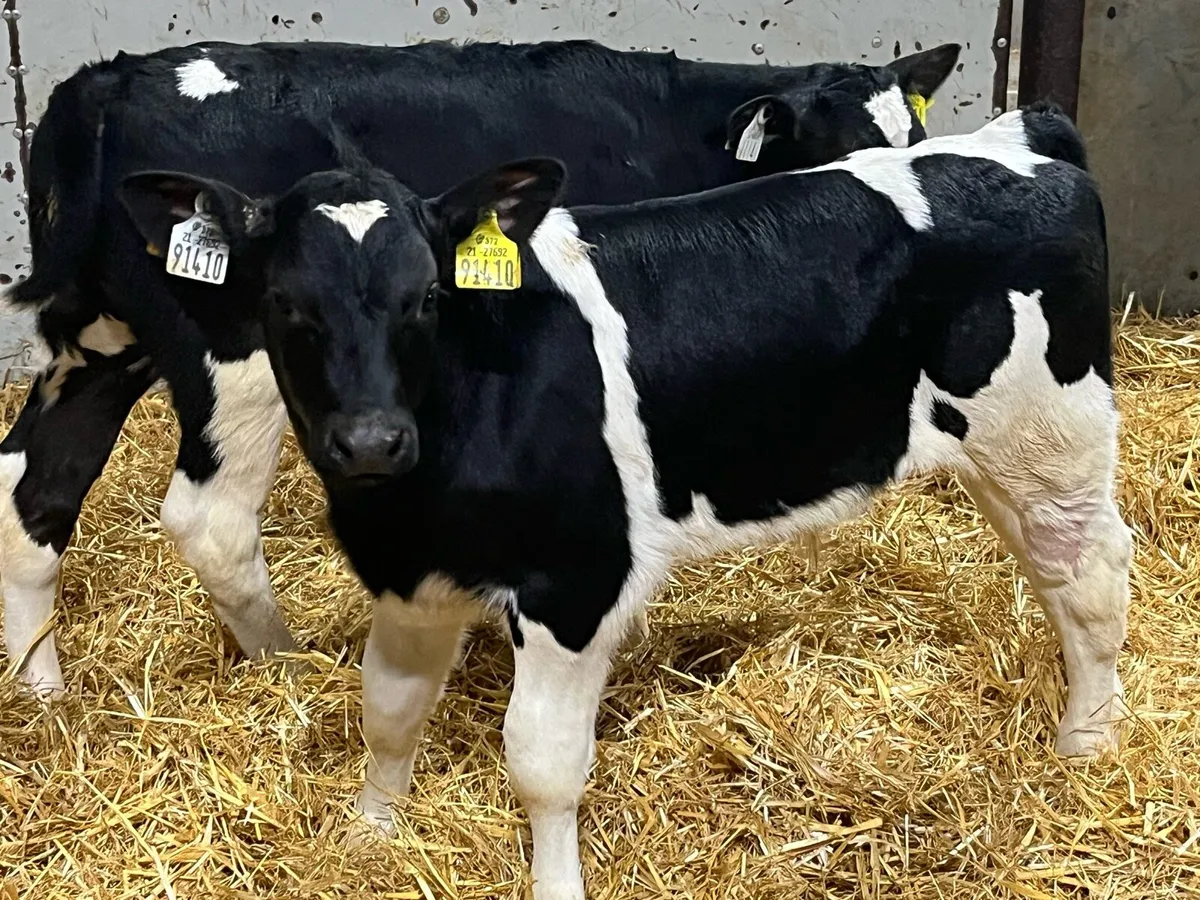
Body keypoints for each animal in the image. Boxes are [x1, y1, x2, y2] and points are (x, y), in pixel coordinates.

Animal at [0, 38, 962, 693]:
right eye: (833, 145)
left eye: (915, 129)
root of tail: (104, 84)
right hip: (233, 364)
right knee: (210, 519)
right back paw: (290, 667)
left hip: (98, 345)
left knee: (33, 489)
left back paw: (41, 689)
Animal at [113, 102, 1129, 899]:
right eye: (285, 303)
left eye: (426, 296)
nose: (370, 440)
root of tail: (1022, 136)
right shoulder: (412, 577)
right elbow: (390, 710)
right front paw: (371, 837)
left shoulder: (576, 582)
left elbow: (542, 764)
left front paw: (553, 884)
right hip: (1005, 458)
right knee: (1058, 579)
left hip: (1053, 437)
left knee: (1094, 581)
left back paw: (1086, 747)